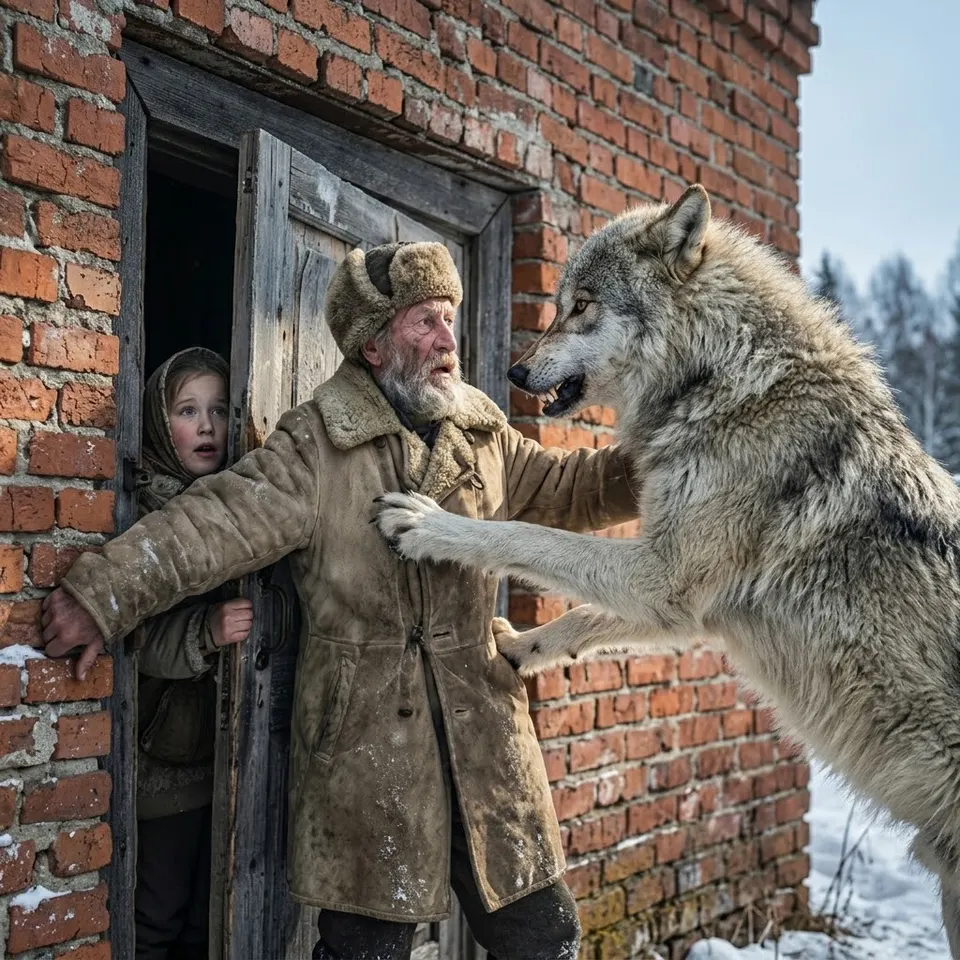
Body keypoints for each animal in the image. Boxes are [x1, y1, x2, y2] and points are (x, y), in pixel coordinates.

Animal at [376, 183, 960, 953]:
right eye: (558, 302)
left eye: (582, 305)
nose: (514, 373)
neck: (722, 381)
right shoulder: (680, 602)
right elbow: (583, 616)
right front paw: (522, 648)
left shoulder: (664, 575)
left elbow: (526, 535)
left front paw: (430, 527)